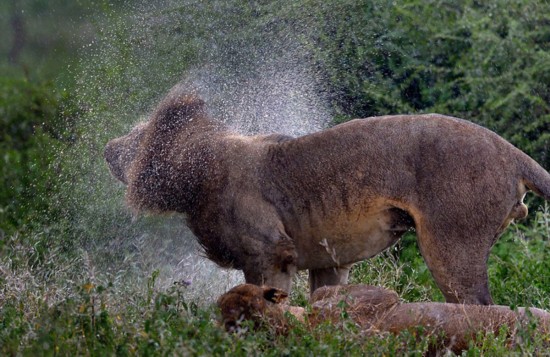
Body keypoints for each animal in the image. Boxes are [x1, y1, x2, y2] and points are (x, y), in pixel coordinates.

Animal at [105, 88, 550, 304]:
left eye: (136, 138)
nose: (107, 148)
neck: (200, 178)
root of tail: (512, 152)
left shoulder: (271, 252)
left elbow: (269, 300)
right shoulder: (328, 260)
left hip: (450, 243)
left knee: (480, 308)